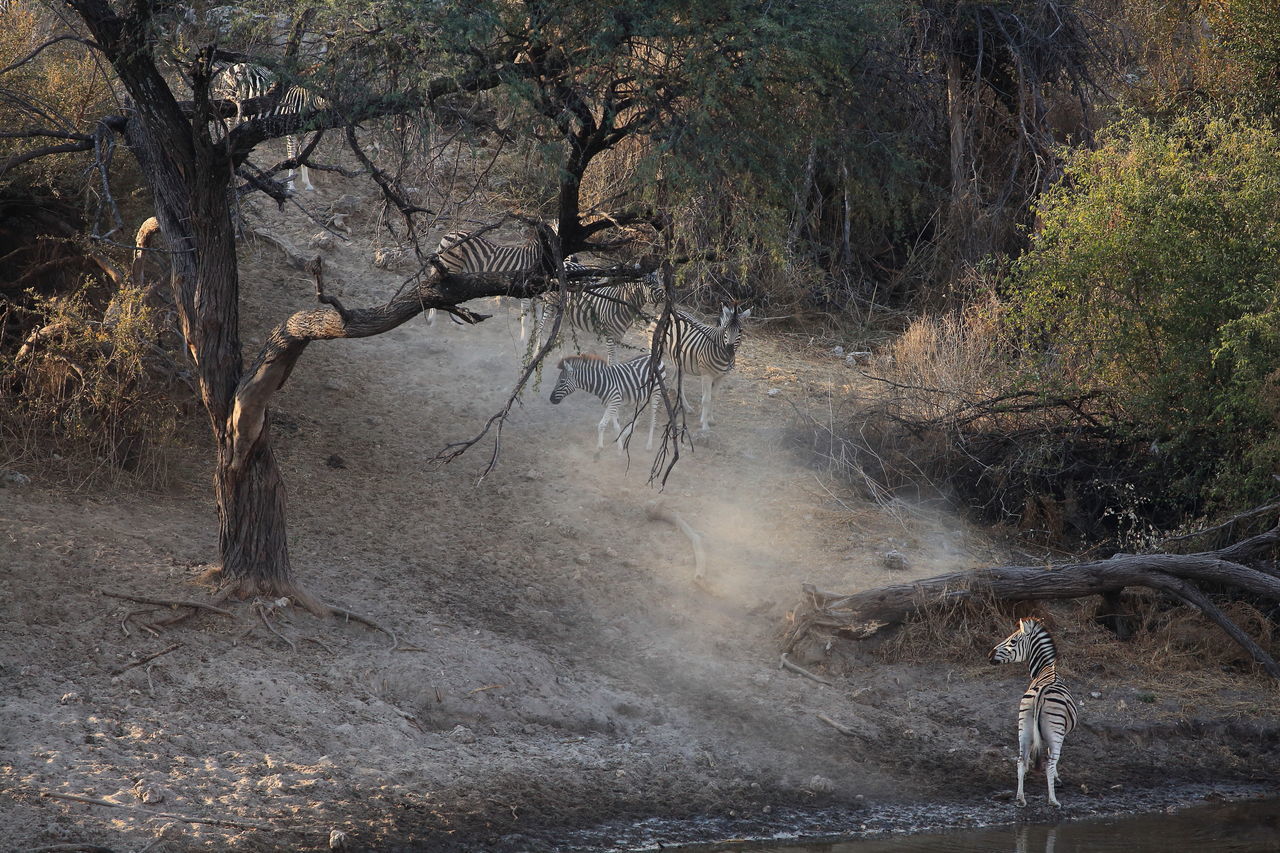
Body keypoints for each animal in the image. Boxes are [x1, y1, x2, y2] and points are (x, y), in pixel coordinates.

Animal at [211, 62, 327, 192]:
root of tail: (238, 64)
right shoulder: (290, 131)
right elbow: (291, 154)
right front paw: (291, 185)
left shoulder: (307, 135)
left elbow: (304, 156)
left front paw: (307, 184)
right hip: (230, 101)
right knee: (228, 127)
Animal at [650, 300, 747, 432]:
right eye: (726, 329)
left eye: (740, 330)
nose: (729, 351)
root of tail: (671, 312)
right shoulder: (707, 375)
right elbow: (706, 399)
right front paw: (705, 426)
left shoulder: (721, 376)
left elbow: (713, 397)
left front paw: (710, 419)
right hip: (657, 352)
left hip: (680, 361)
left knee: (678, 383)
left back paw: (686, 407)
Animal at [988, 617, 1080, 804]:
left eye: (1013, 641)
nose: (989, 655)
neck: (1046, 670)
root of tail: (1039, 694)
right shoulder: (1059, 732)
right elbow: (1051, 755)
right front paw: (1057, 779)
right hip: (1055, 731)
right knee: (1049, 763)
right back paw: (1053, 801)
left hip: (1024, 726)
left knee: (1020, 760)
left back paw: (1020, 798)